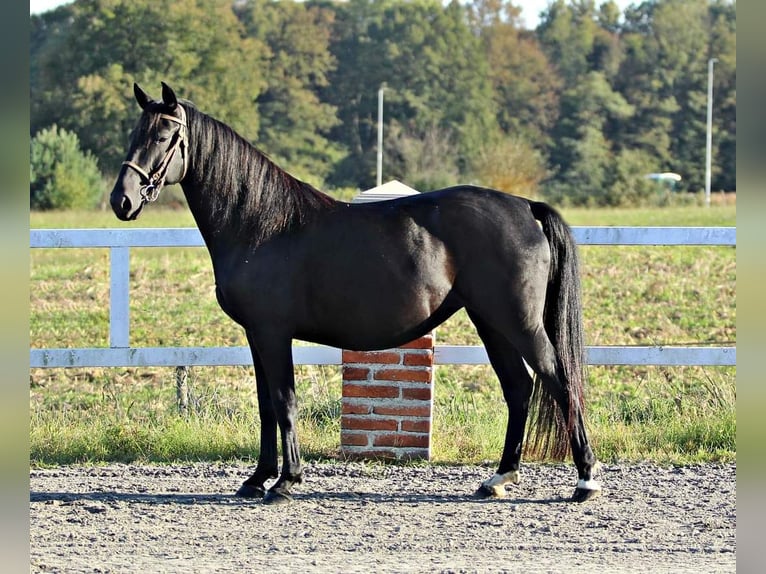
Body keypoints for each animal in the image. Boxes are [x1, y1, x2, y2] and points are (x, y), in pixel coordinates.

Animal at [109, 83, 600, 506]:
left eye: (165, 134)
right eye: (135, 133)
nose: (122, 201)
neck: (260, 224)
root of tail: (525, 207)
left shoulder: (272, 333)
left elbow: (284, 400)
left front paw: (286, 482)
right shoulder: (255, 335)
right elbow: (266, 405)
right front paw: (256, 478)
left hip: (519, 322)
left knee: (560, 380)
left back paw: (585, 480)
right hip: (491, 322)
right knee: (519, 388)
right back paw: (498, 478)